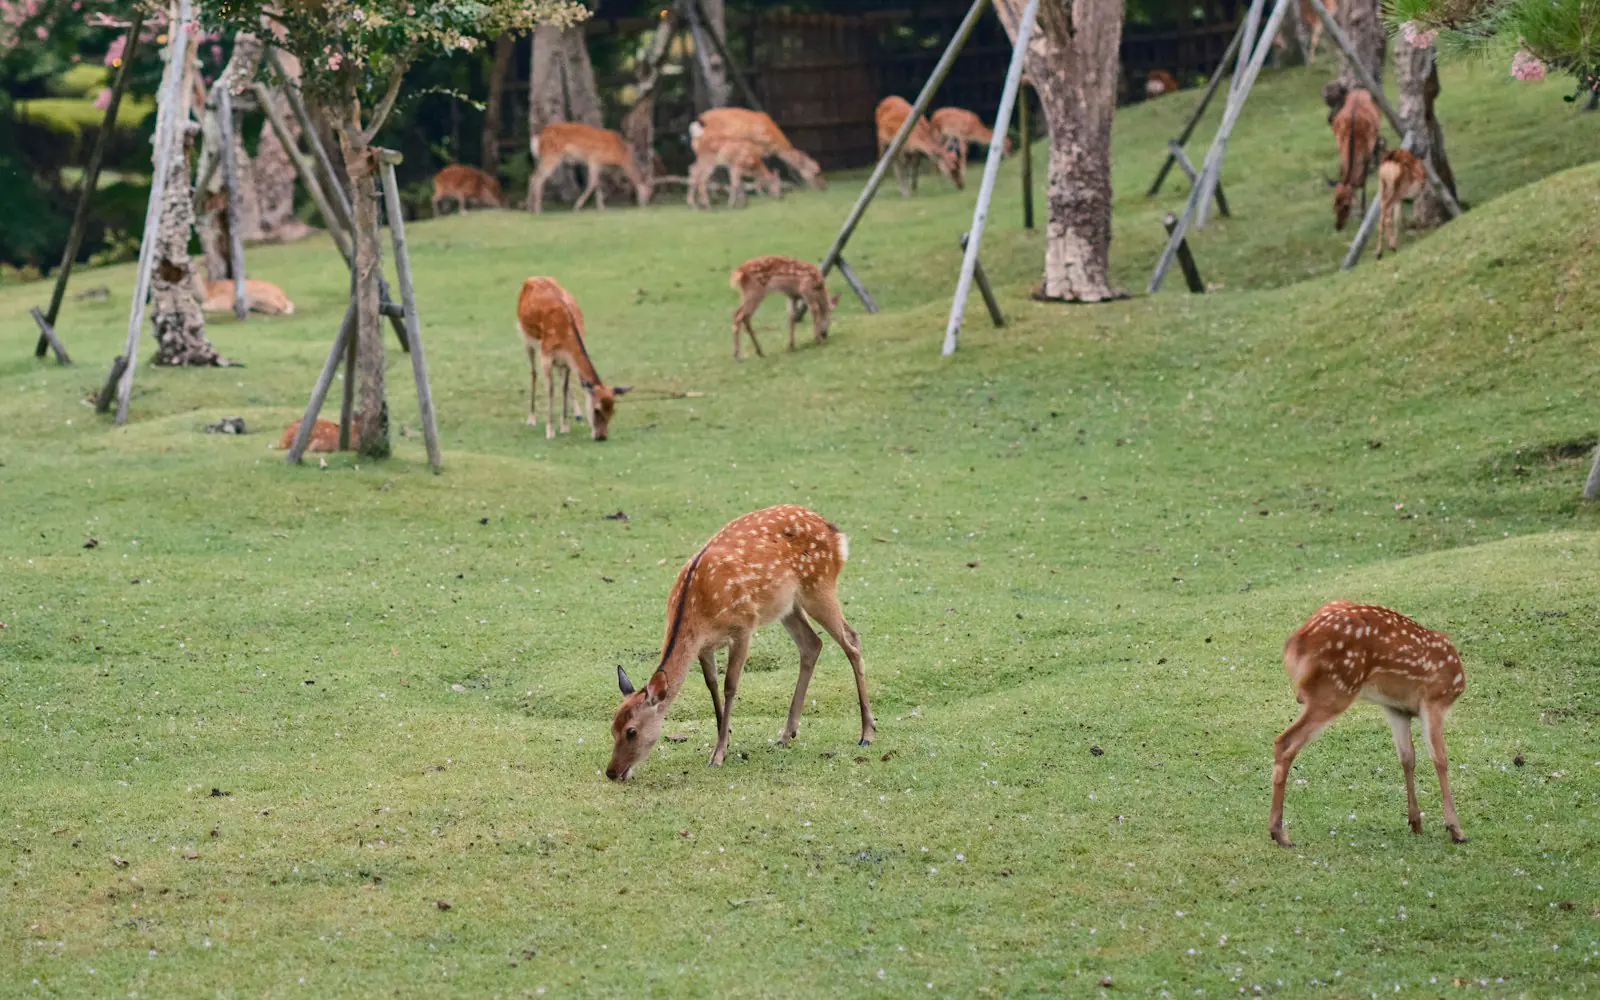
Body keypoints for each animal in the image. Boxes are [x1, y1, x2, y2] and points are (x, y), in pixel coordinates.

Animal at [516, 276, 630, 441]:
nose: (601, 437)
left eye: (613, 410)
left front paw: (565, 427)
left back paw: (577, 413)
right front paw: (550, 431)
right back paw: (531, 419)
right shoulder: (546, 355)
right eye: (597, 410)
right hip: (526, 338)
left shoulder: (567, 361)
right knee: (533, 373)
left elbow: (564, 387)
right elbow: (551, 390)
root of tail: (532, 278)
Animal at [607, 504, 875, 781]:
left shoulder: (744, 627)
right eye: (612, 727)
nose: (611, 772)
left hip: (819, 587)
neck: (698, 612)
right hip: (787, 605)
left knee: (852, 640)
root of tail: (835, 532)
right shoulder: (704, 646)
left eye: (631, 731)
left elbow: (730, 685)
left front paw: (717, 755)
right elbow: (712, 684)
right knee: (812, 644)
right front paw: (725, 739)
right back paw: (786, 734)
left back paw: (867, 733)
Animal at [1271, 600, 1468, 848]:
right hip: (1334, 688)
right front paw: (1456, 829)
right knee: (1284, 742)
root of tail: (1297, 641)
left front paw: (1415, 822)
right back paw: (1279, 833)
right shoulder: (1434, 701)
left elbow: (1407, 757)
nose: (1416, 823)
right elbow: (1440, 759)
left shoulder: (1397, 709)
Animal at [1327, 86, 1381, 231]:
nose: (1338, 226)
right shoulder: (1340, 149)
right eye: (1334, 204)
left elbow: (1362, 182)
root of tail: (1359, 89)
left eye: (1346, 206)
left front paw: (1363, 212)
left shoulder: (1367, 153)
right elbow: (1342, 172)